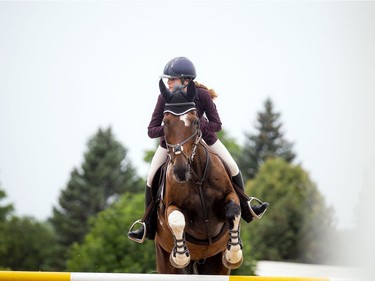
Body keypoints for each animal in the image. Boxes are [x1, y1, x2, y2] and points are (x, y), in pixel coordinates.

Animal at [155, 81, 244, 274]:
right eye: (165, 123)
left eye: (195, 121)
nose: (180, 171)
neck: (197, 177)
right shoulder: (170, 207)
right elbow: (177, 220)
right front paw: (180, 256)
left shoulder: (229, 194)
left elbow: (234, 210)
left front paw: (233, 255)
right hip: (163, 258)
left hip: (215, 264)